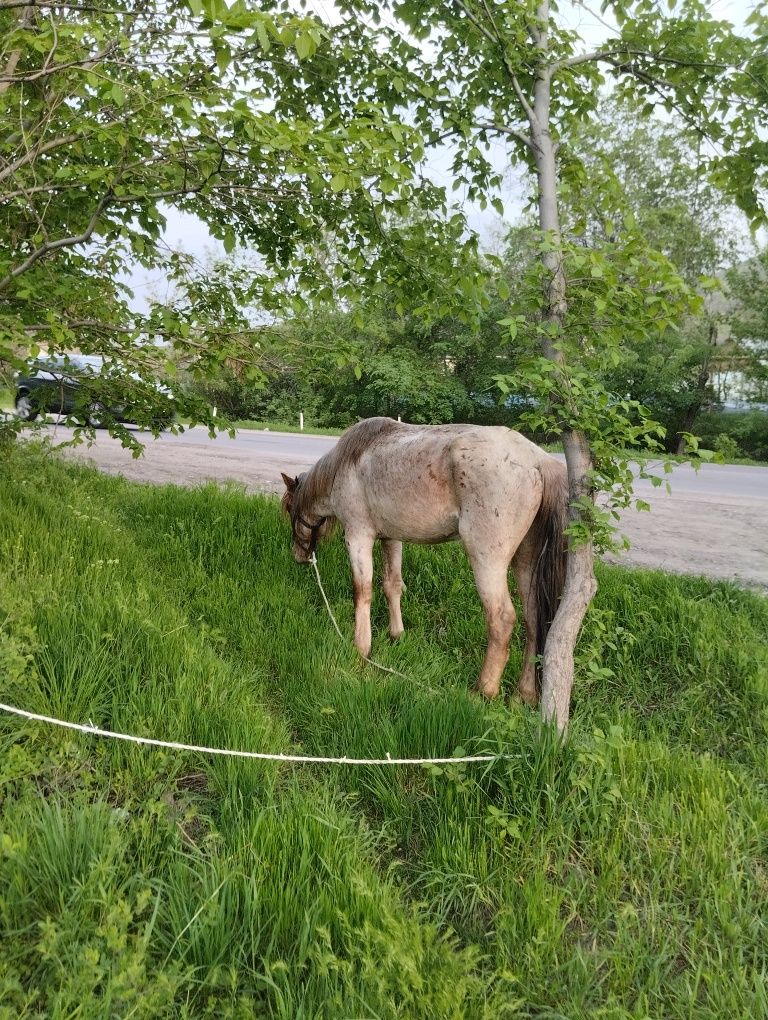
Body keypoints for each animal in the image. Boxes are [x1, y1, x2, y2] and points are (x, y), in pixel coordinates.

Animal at [279, 418, 567, 705]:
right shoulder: (391, 538)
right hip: (526, 560)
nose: (299, 556)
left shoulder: (358, 537)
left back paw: (483, 691)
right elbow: (392, 586)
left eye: (289, 508)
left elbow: (362, 593)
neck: (345, 463)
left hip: (487, 560)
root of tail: (538, 460)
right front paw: (396, 635)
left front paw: (362, 649)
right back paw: (524, 694)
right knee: (533, 618)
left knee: (502, 619)